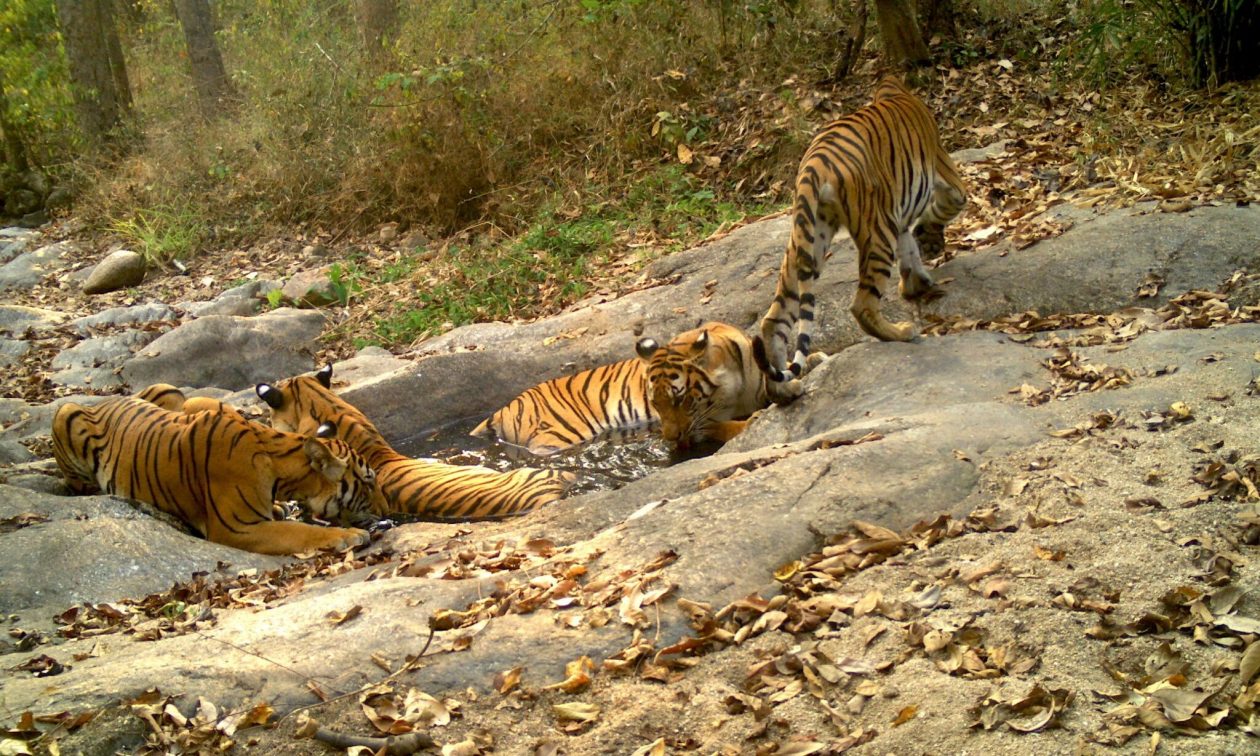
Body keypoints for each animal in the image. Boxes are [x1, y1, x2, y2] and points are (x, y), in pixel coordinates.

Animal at [50, 383, 383, 554]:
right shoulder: (235, 528)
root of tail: (108, 399)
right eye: (368, 481)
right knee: (76, 484)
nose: (385, 511)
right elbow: (300, 531)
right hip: (66, 411)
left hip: (175, 393)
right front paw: (347, 535)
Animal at [630, 320, 766, 448]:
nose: (671, 438)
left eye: (679, 399)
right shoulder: (706, 425)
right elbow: (725, 428)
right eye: (655, 402)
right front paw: (751, 420)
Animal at [750, 74, 967, 398]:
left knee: (773, 320)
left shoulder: (899, 216)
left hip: (810, 240)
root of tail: (814, 163)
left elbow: (908, 250)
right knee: (862, 304)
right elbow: (942, 210)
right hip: (877, 230)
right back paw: (902, 332)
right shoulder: (945, 177)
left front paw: (915, 283)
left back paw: (785, 391)